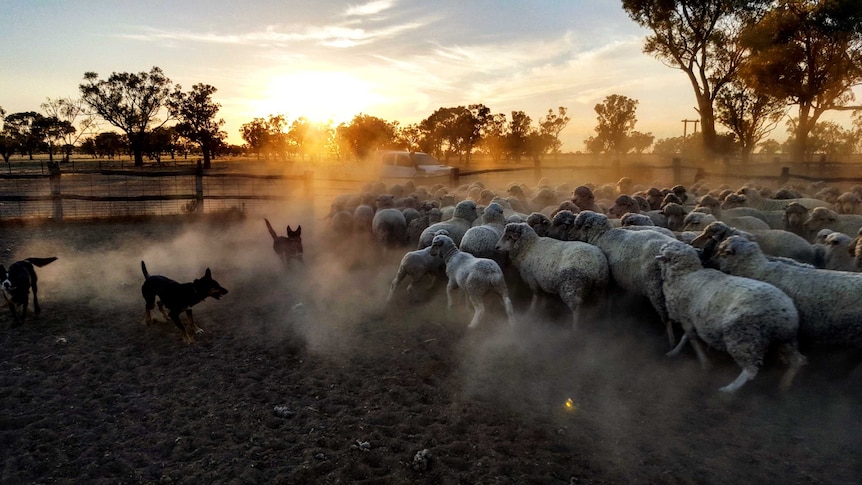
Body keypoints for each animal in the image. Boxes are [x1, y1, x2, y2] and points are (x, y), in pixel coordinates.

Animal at [572, 210, 680, 346]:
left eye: (578, 227)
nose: (570, 236)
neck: (601, 236)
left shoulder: (611, 281)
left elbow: (610, 299)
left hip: (655, 285)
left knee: (666, 316)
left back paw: (671, 341)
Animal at [660, 239, 808, 394]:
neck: (685, 275)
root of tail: (783, 309)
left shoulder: (685, 317)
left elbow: (691, 339)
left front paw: (702, 361)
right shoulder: (691, 319)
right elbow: (687, 337)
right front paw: (675, 351)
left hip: (743, 335)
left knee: (750, 370)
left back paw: (728, 390)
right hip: (785, 338)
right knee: (799, 360)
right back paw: (786, 383)